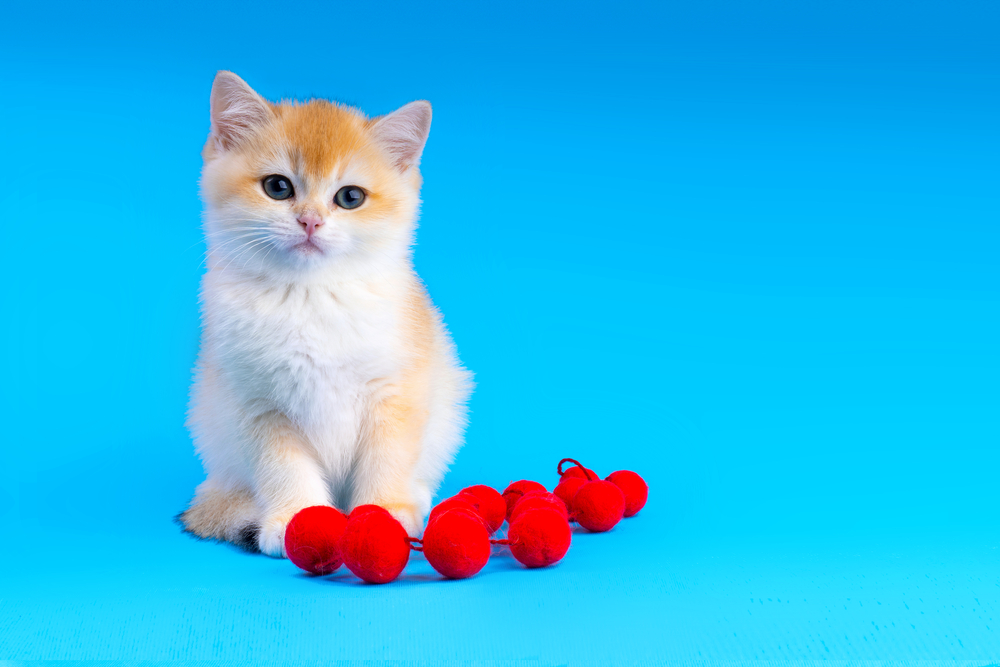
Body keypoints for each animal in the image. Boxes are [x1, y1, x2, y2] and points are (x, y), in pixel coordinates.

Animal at [179, 72, 472, 560]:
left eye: (350, 197)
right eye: (278, 187)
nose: (310, 221)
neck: (309, 296)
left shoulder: (395, 393)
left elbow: (387, 458)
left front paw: (384, 512)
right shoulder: (258, 405)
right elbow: (283, 468)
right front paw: (296, 518)